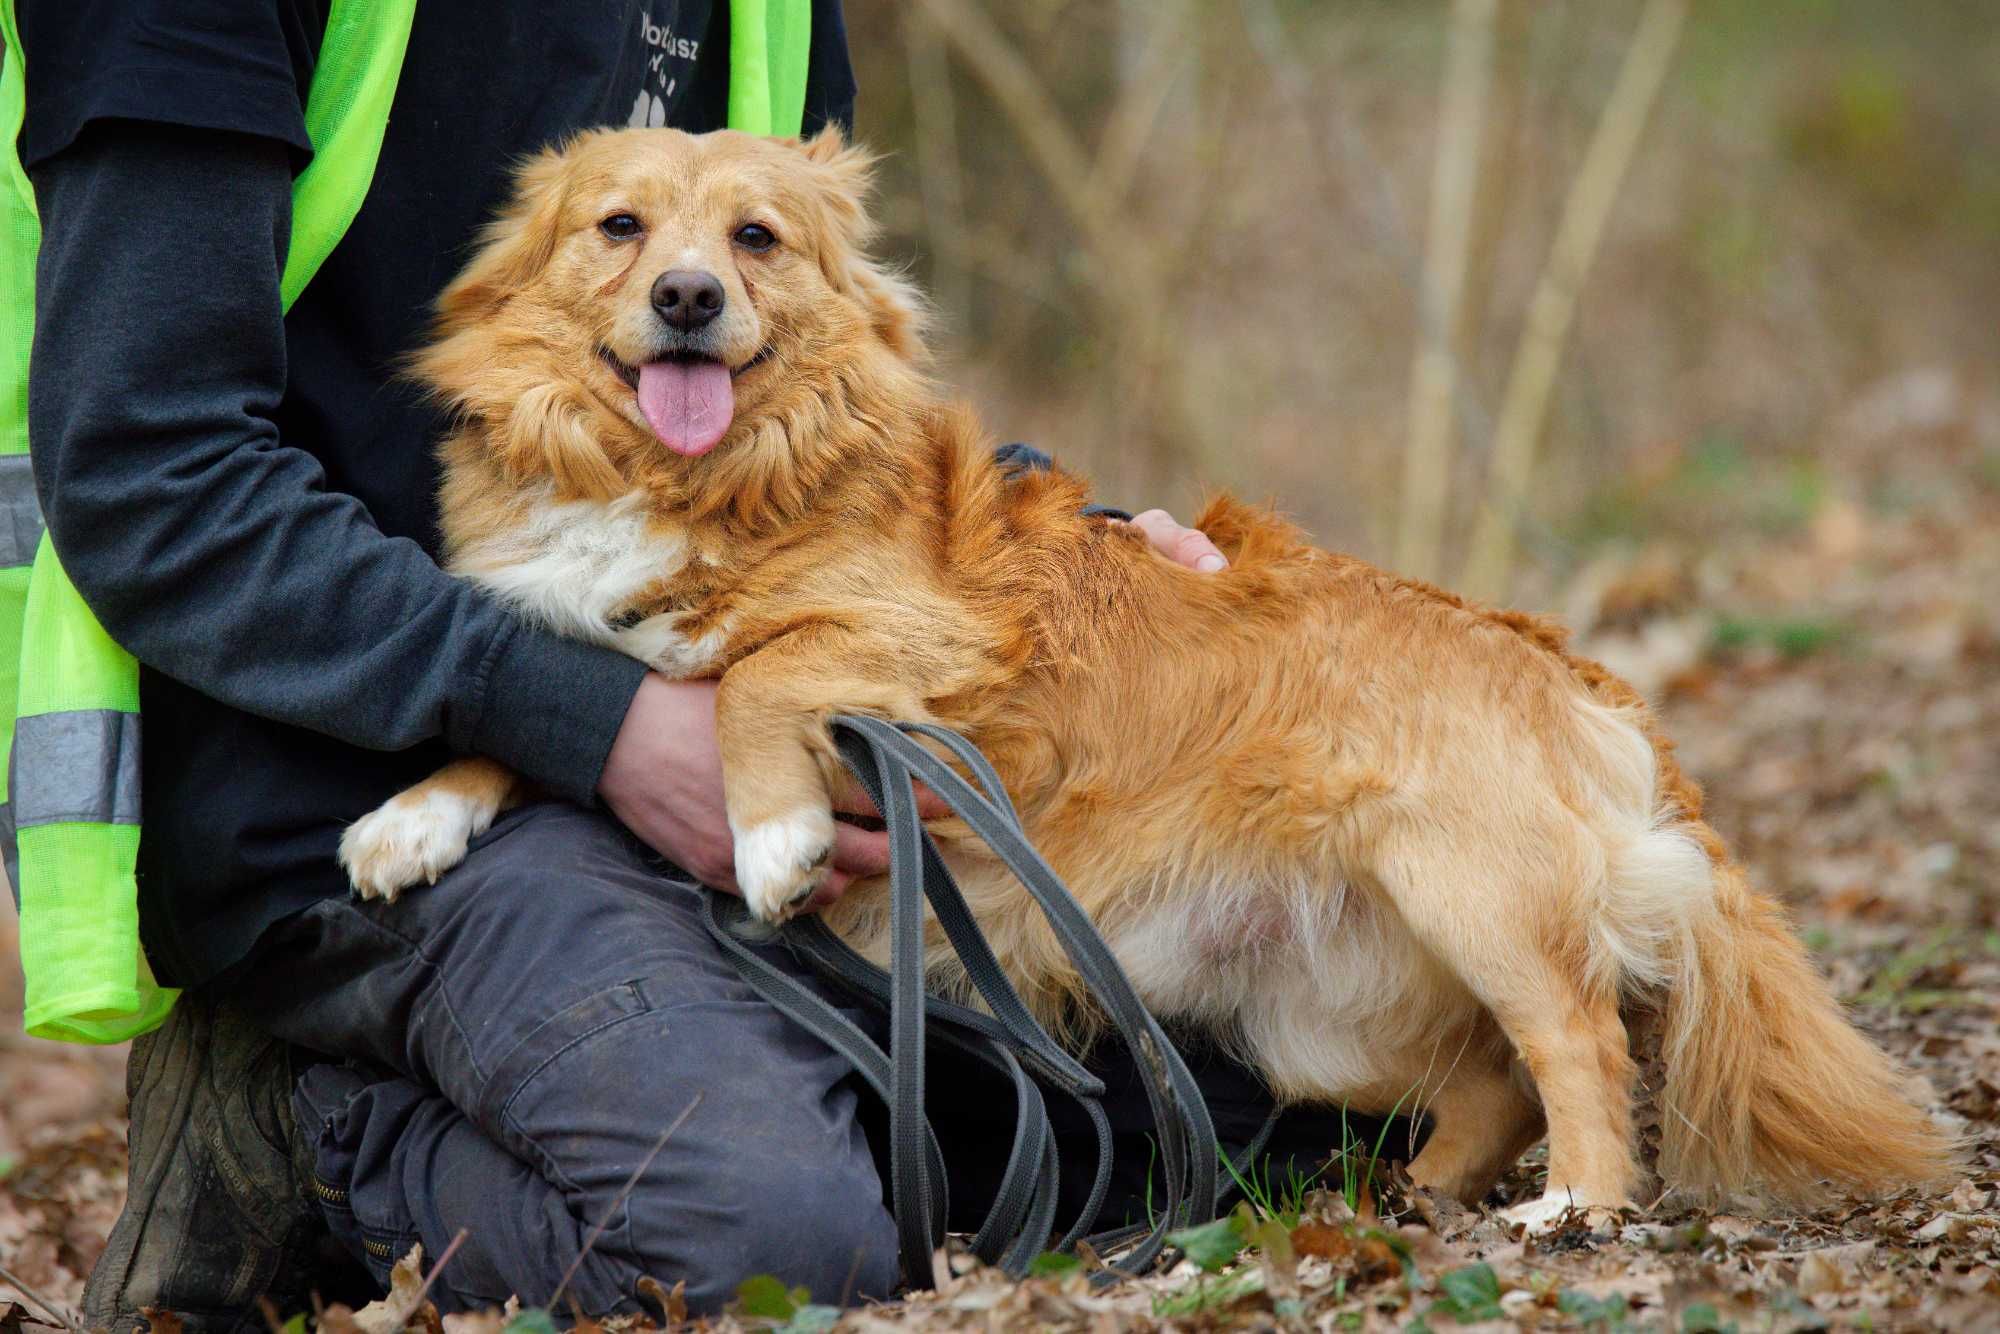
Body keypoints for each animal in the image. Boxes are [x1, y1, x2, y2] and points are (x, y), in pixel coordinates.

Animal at [340, 125, 1952, 1232]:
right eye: (618, 228)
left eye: (755, 238)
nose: (684, 297)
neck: (704, 476)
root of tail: (1580, 677)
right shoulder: (574, 632)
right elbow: (545, 700)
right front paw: (413, 816)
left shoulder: (930, 638)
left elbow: (759, 673)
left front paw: (774, 834)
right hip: (1328, 1021)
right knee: (1492, 1075)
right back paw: (1423, 1193)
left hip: (1469, 892)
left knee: (1577, 1042)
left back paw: (1580, 1207)